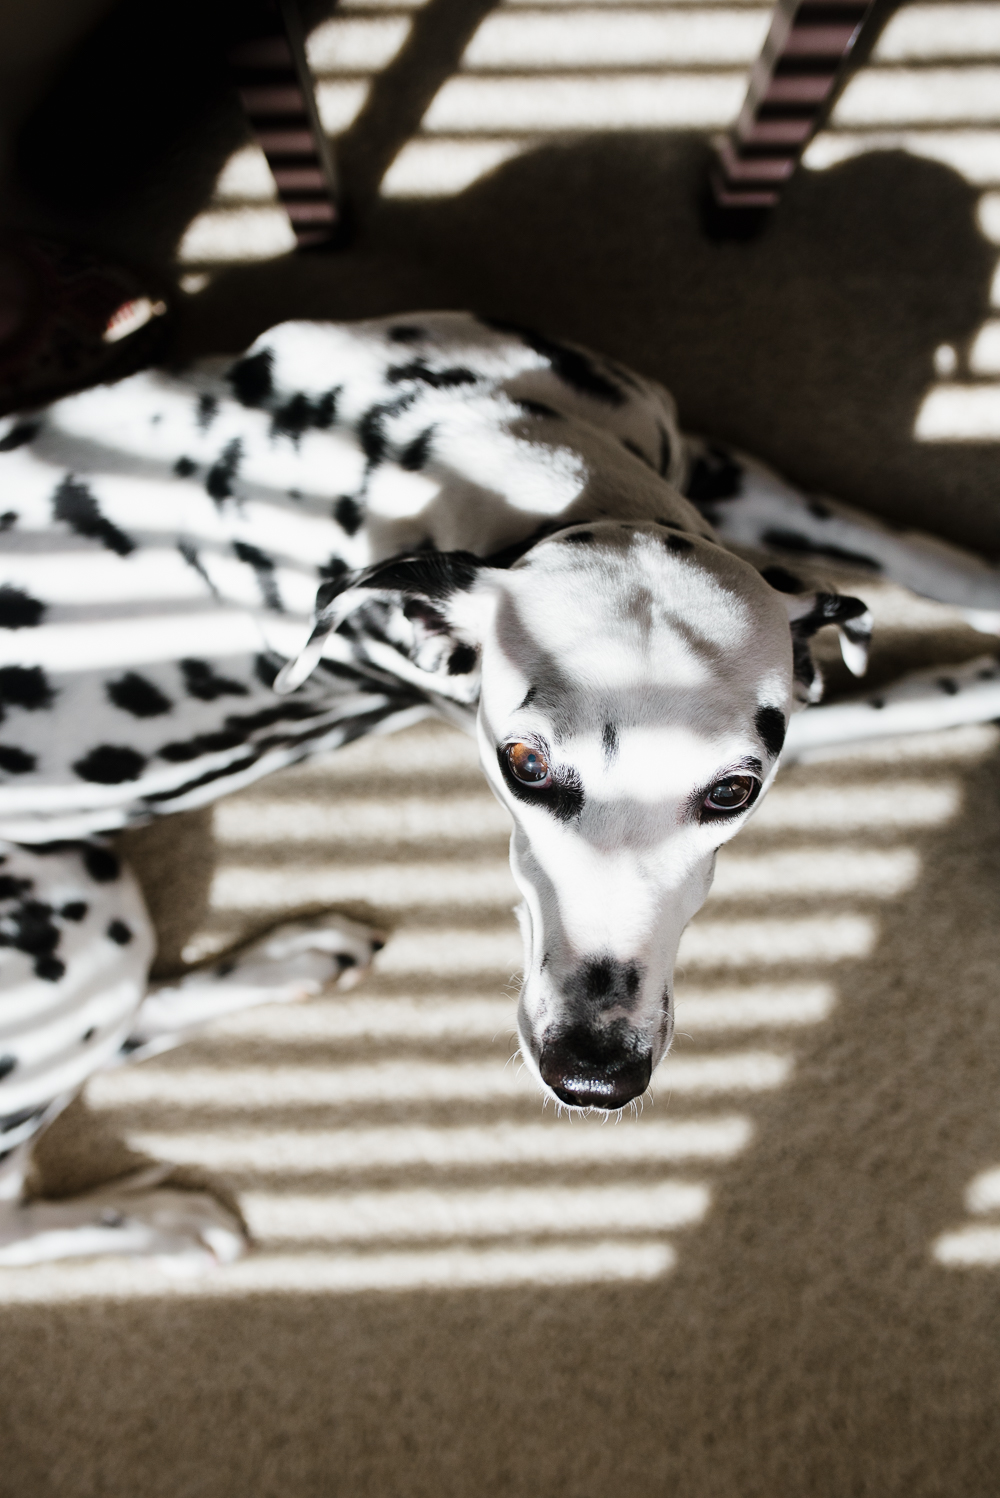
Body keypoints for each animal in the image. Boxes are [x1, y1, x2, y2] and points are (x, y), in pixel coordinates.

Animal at [1, 313, 999, 1264]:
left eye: (731, 792)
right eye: (523, 762)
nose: (593, 1074)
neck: (472, 448)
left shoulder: (719, 468)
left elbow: (921, 554)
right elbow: (925, 692)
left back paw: (293, 958)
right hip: (83, 921)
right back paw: (162, 1219)